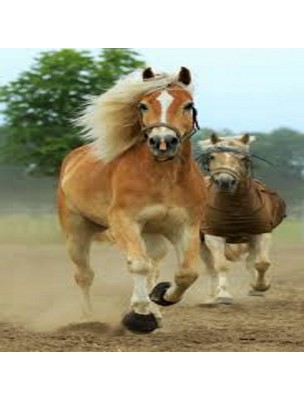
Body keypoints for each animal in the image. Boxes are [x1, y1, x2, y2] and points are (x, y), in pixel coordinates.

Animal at [57, 67, 204, 332]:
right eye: (143, 105)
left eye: (188, 105)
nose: (163, 142)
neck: (163, 178)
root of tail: (73, 158)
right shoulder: (124, 221)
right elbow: (138, 265)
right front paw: (139, 316)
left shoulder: (186, 226)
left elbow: (186, 273)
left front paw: (160, 297)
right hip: (76, 233)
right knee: (84, 275)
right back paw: (88, 317)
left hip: (154, 237)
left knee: (153, 265)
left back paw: (155, 311)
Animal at [196, 134, 286, 304]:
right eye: (212, 157)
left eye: (243, 158)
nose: (225, 181)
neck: (235, 208)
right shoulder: (213, 236)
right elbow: (221, 266)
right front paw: (223, 296)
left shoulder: (261, 233)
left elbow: (261, 263)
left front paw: (260, 286)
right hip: (201, 243)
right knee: (211, 268)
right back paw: (211, 297)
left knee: (250, 262)